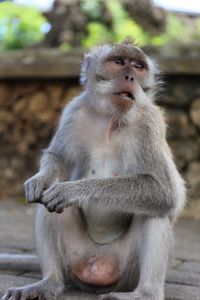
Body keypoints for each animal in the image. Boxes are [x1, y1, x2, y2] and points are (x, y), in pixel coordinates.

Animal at [1, 40, 186, 300]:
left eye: (138, 66)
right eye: (119, 62)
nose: (130, 77)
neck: (111, 119)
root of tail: (97, 265)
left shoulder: (150, 122)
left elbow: (164, 190)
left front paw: (69, 191)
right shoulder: (74, 110)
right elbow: (57, 158)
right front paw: (41, 179)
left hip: (126, 270)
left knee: (154, 210)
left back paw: (145, 294)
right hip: (76, 257)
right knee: (46, 203)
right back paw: (48, 283)